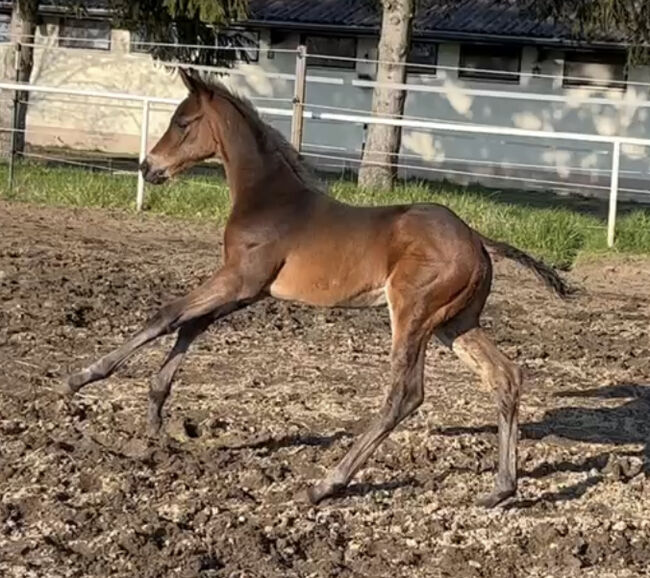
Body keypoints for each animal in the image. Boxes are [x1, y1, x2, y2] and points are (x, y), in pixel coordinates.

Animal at [63, 70, 564, 506]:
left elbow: (166, 314)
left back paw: (326, 484)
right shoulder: (248, 291)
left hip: (413, 313)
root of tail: (478, 239)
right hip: (455, 322)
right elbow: (190, 326)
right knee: (504, 376)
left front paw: (81, 378)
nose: (148, 167)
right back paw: (500, 489)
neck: (266, 198)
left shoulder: (238, 279)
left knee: (405, 394)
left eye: (183, 123)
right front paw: (154, 416)